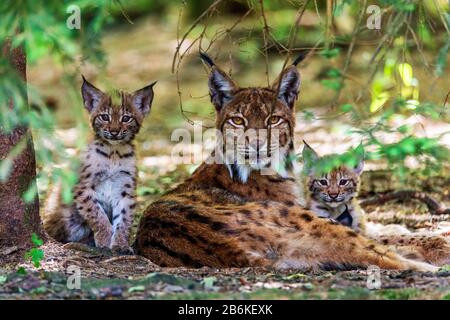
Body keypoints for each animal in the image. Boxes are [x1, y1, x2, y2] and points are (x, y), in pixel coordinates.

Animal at [43, 76, 155, 251]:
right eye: (104, 117)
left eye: (126, 118)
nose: (114, 131)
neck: (114, 152)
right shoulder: (82, 187)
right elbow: (97, 215)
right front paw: (104, 240)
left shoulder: (126, 188)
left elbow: (125, 219)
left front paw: (120, 244)